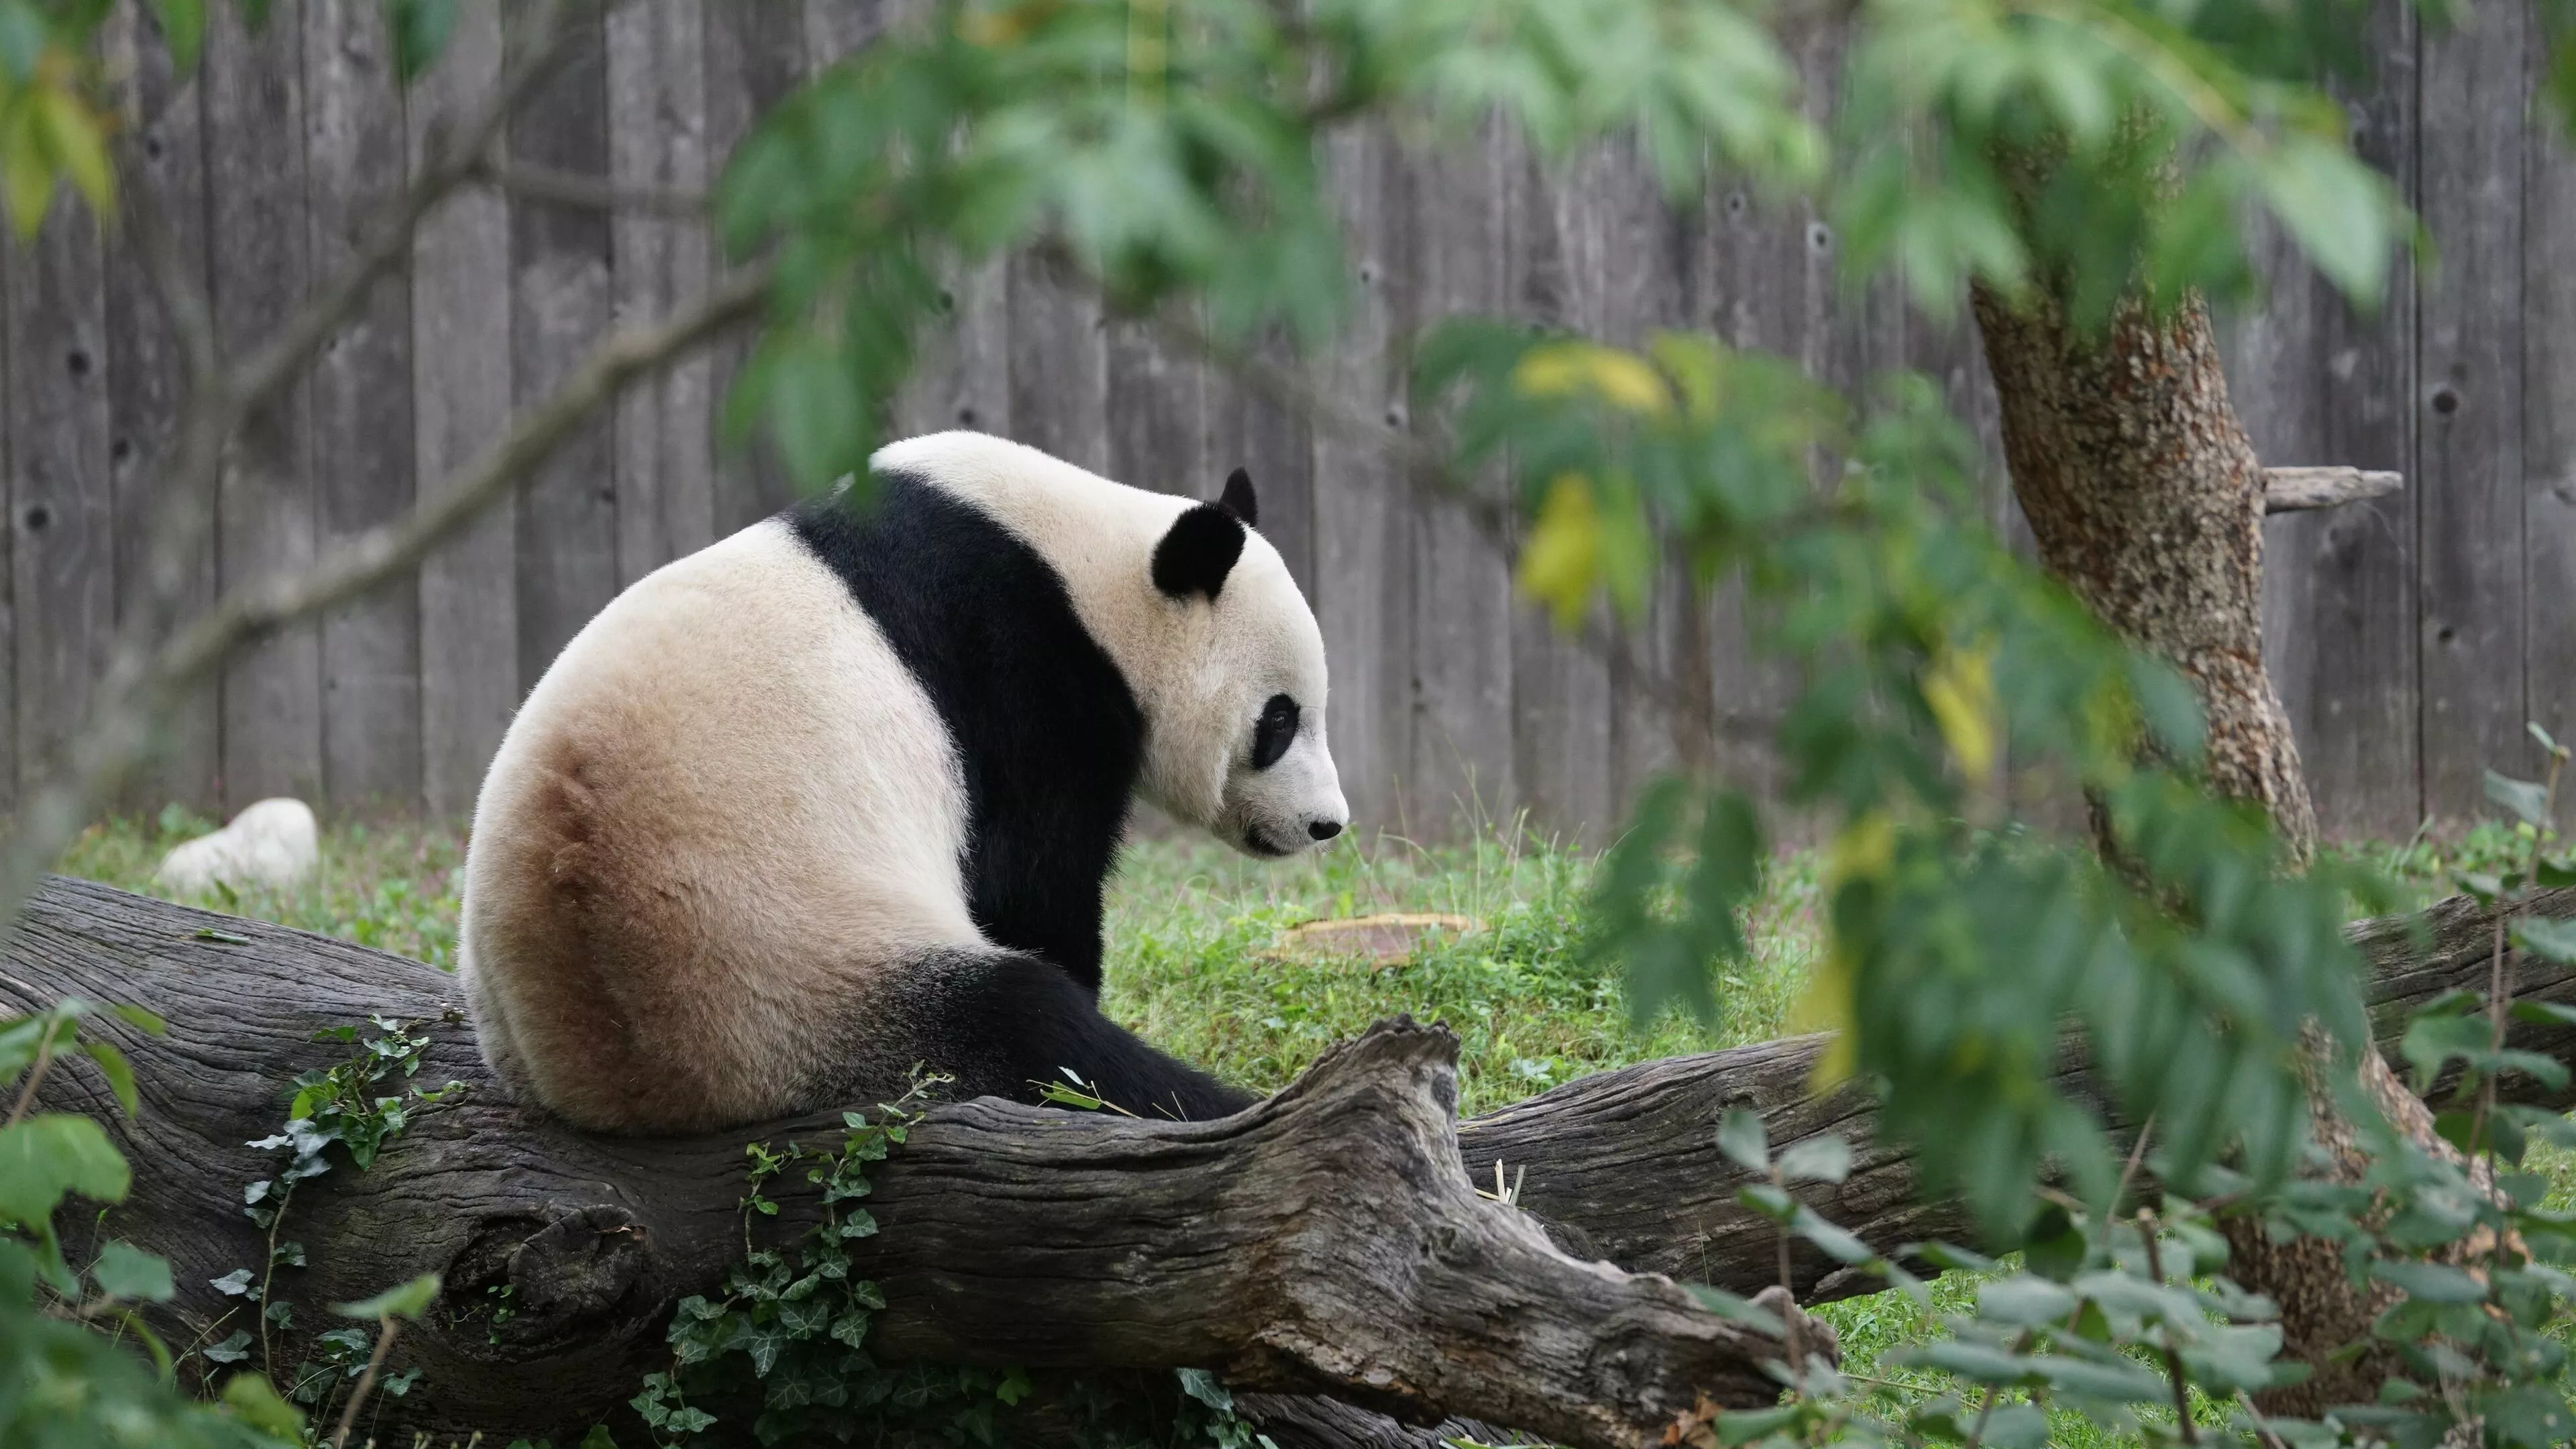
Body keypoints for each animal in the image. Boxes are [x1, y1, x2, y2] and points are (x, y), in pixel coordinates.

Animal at [457, 431, 1348, 1134]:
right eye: (1279, 721)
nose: (1326, 825)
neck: (1091, 565)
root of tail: (619, 1081)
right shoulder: (1018, 674)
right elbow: (1030, 885)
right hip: (794, 991)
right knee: (1032, 1032)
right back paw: (1220, 1105)